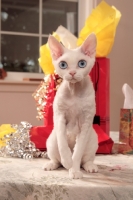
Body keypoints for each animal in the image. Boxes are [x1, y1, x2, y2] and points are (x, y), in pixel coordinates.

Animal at [43, 33, 98, 179]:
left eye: (82, 63)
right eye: (63, 64)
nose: (72, 73)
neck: (74, 91)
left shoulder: (86, 121)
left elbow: (77, 152)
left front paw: (74, 170)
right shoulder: (59, 116)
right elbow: (63, 144)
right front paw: (68, 161)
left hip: (93, 139)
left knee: (86, 159)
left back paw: (90, 167)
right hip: (51, 139)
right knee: (56, 159)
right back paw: (52, 164)